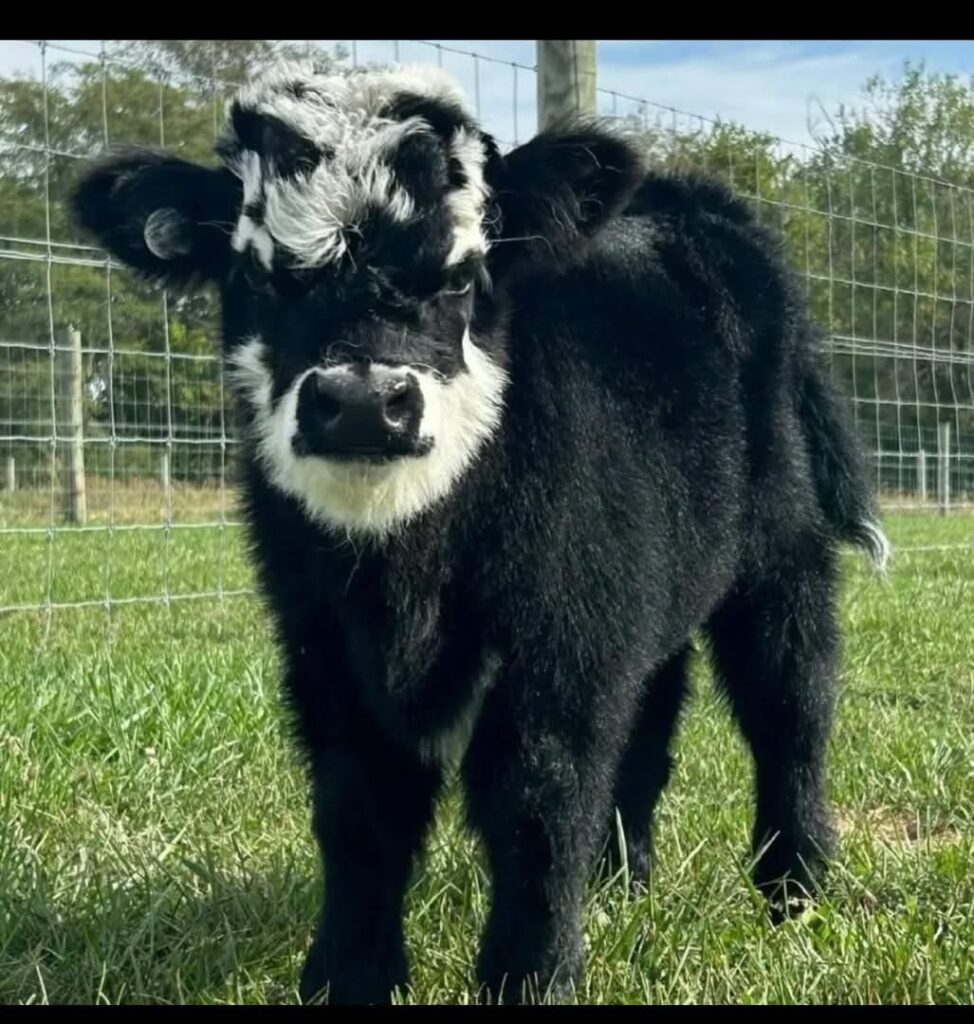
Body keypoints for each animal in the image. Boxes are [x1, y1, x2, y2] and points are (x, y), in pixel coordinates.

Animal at [70, 63, 889, 1005]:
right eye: (261, 278)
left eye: (461, 277)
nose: (362, 402)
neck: (405, 581)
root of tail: (693, 201)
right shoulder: (322, 648)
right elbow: (359, 810)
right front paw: (348, 975)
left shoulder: (562, 641)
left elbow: (539, 799)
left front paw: (531, 976)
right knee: (651, 724)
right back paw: (622, 880)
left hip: (780, 556)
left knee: (789, 706)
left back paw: (795, 889)